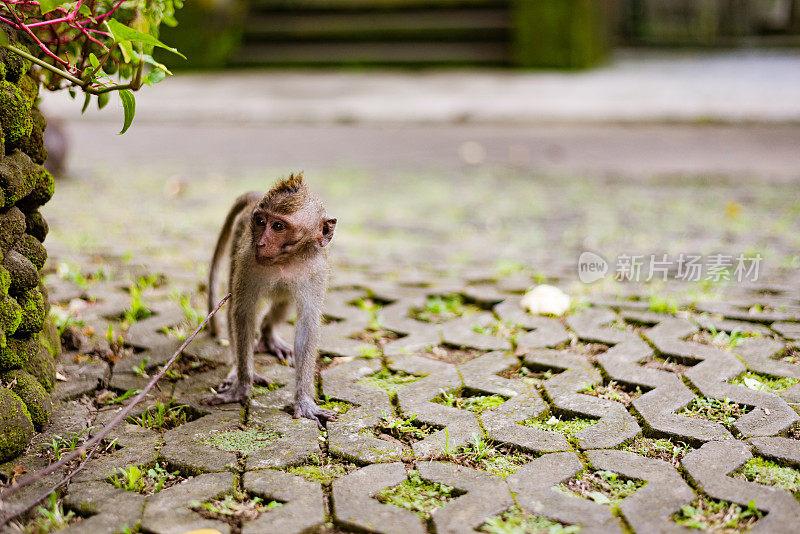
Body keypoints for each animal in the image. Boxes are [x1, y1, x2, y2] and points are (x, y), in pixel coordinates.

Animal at [203, 174, 338, 430]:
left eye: (278, 226)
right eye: (260, 221)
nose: (261, 243)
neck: (286, 260)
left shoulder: (316, 270)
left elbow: (307, 325)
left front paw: (304, 401)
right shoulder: (248, 260)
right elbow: (243, 313)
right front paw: (242, 385)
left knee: (284, 301)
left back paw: (269, 336)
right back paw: (236, 369)